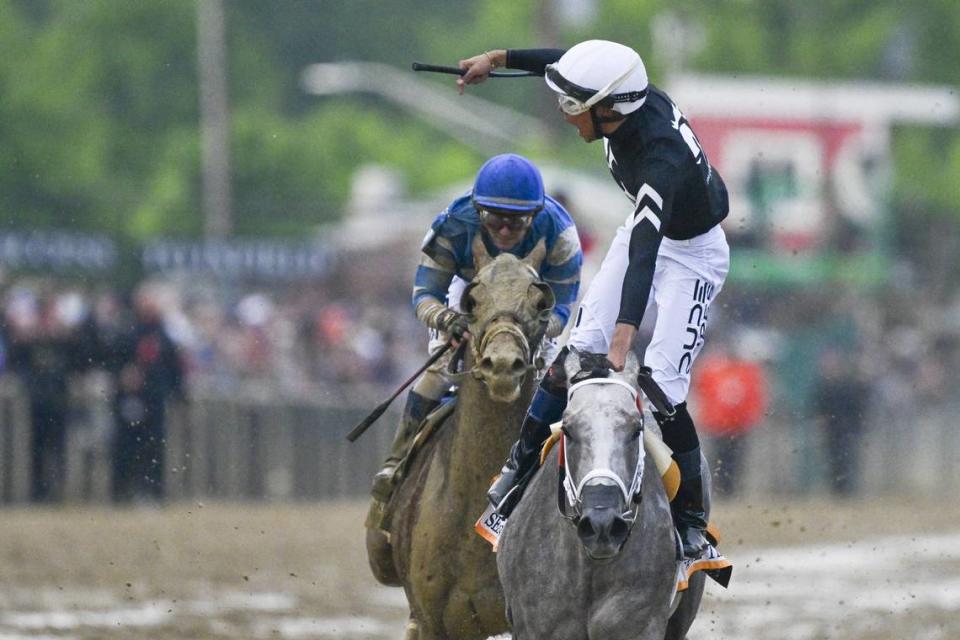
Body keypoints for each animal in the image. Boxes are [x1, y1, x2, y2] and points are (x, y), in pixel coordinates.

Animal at [498, 350, 708, 640]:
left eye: (636, 429)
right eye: (568, 429)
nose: (602, 525)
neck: (588, 565)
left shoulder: (638, 624)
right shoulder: (536, 625)